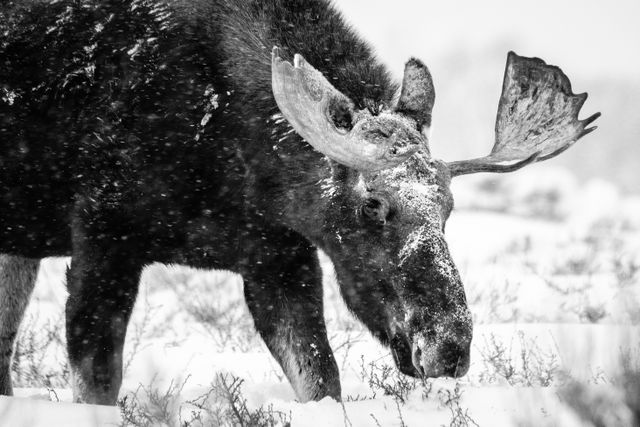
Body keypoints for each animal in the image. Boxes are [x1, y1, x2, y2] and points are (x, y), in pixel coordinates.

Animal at [1, 0, 600, 406]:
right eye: (371, 205)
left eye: (449, 209)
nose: (450, 345)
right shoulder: (104, 238)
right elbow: (97, 380)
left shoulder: (279, 258)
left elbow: (320, 376)